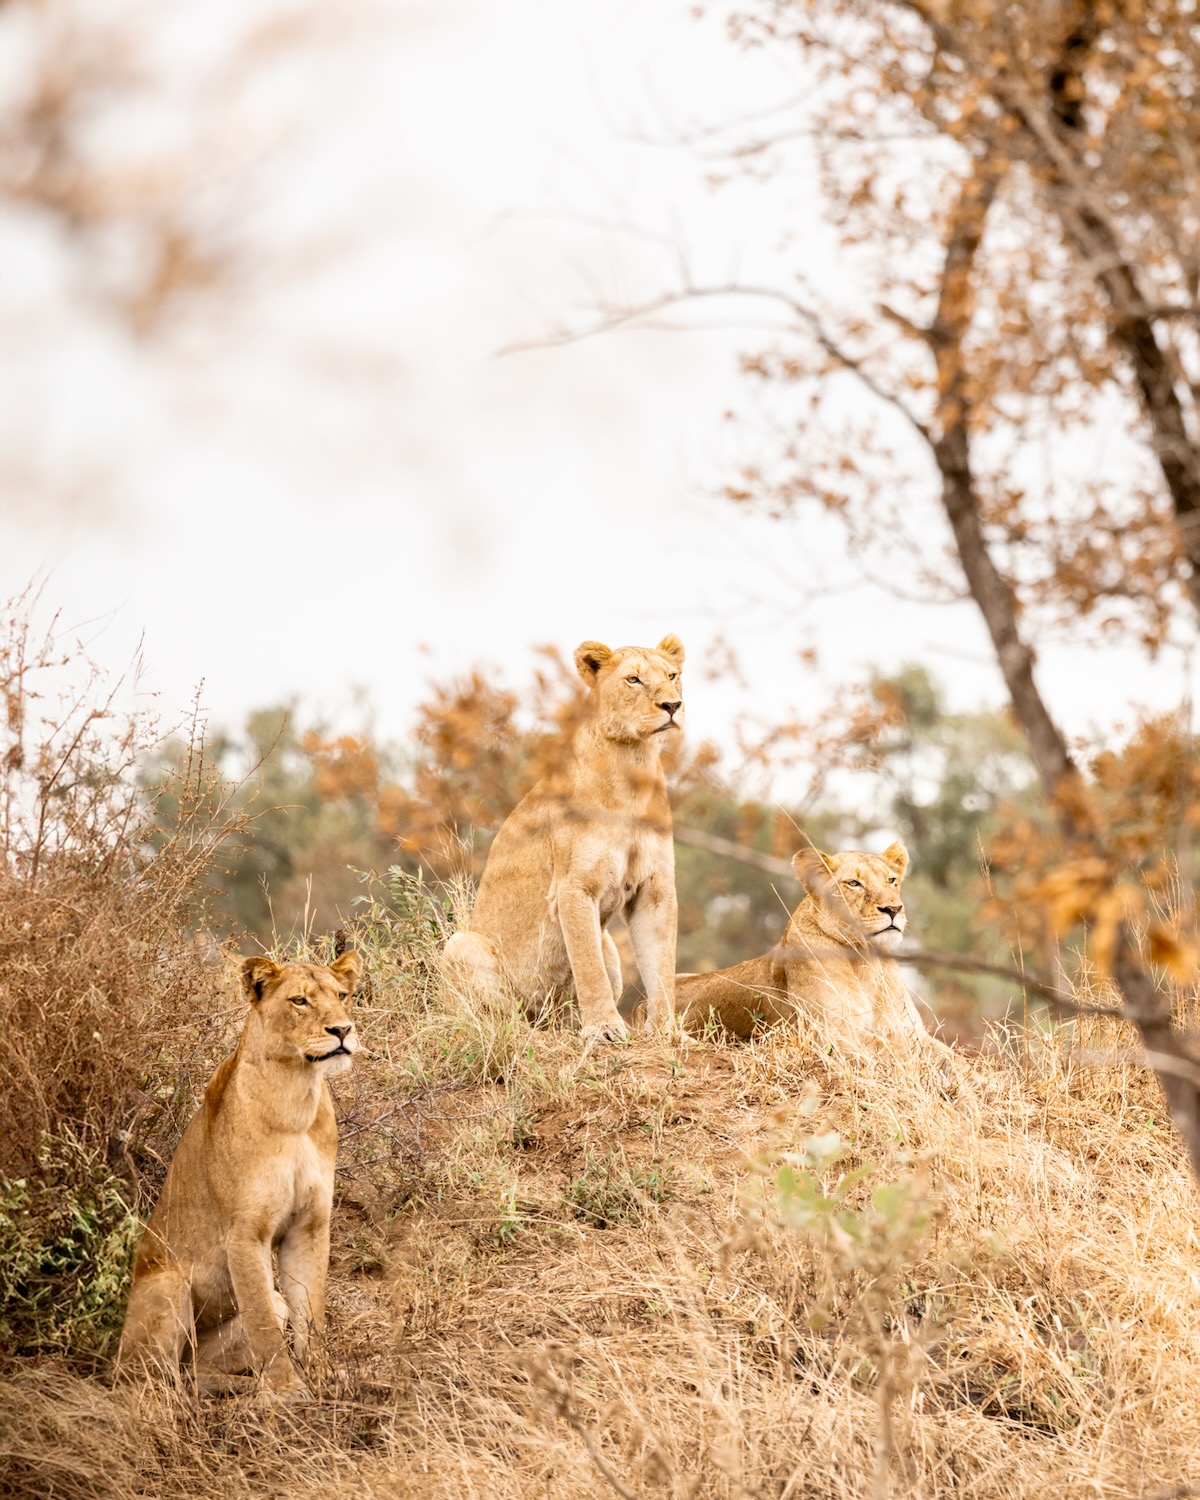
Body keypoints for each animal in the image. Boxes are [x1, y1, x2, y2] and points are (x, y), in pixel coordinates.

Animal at [115, 948, 363, 1392]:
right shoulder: (245, 1233)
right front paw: (287, 1389)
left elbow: (311, 1309)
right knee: (156, 1380)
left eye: (342, 995)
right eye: (300, 1001)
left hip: (224, 1337)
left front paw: (323, 1375)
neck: (297, 1097)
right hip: (167, 1287)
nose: (342, 1030)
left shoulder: (310, 1225)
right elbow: (262, 1323)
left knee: (196, 1372)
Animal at [441, 636, 684, 1044]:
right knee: (499, 1016)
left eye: (672, 676)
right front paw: (604, 1029)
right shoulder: (573, 886)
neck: (633, 765)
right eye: (633, 679)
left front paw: (669, 1032)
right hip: (460, 945)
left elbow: (661, 965)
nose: (672, 706)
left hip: (611, 949)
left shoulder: (654, 888)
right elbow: (588, 966)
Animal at [681, 840, 954, 1062]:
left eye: (891, 880)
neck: (867, 960)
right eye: (853, 883)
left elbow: (950, 1057)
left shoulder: (908, 1029)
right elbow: (897, 1049)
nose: (894, 909)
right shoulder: (832, 1034)